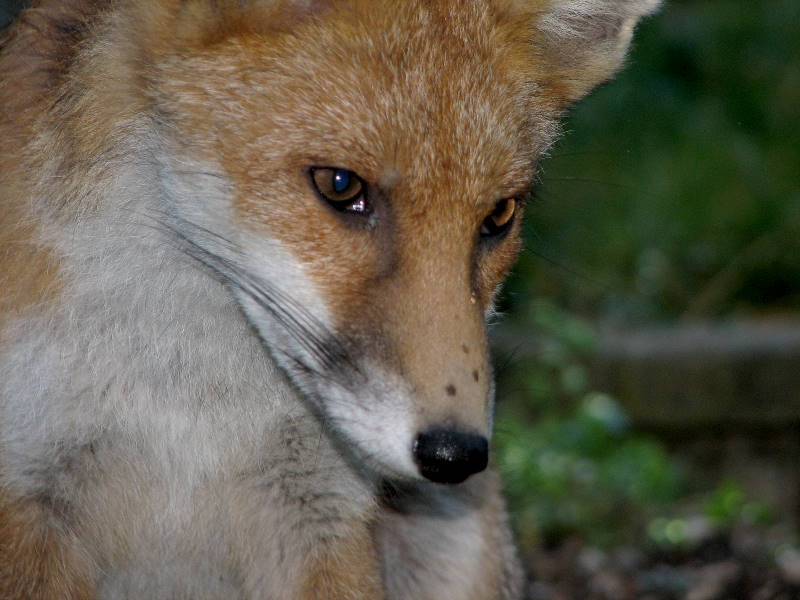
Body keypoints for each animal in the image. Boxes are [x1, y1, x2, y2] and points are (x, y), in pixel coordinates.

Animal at [0, 0, 660, 596]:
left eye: (499, 215)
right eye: (341, 186)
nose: (456, 454)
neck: (188, 411)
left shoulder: (322, 512)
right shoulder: (29, 488)